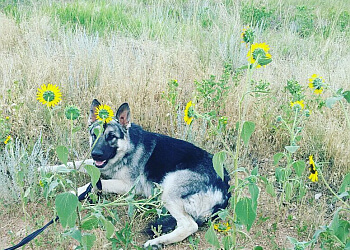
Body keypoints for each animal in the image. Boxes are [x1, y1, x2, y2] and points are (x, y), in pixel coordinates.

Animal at [48, 99, 232, 248]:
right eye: (94, 135)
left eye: (111, 136)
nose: (96, 154)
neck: (127, 148)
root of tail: (226, 190)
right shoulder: (96, 165)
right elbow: (75, 164)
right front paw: (47, 169)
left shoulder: (128, 187)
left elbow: (94, 183)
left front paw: (72, 192)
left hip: (169, 190)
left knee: (189, 225)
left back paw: (156, 242)